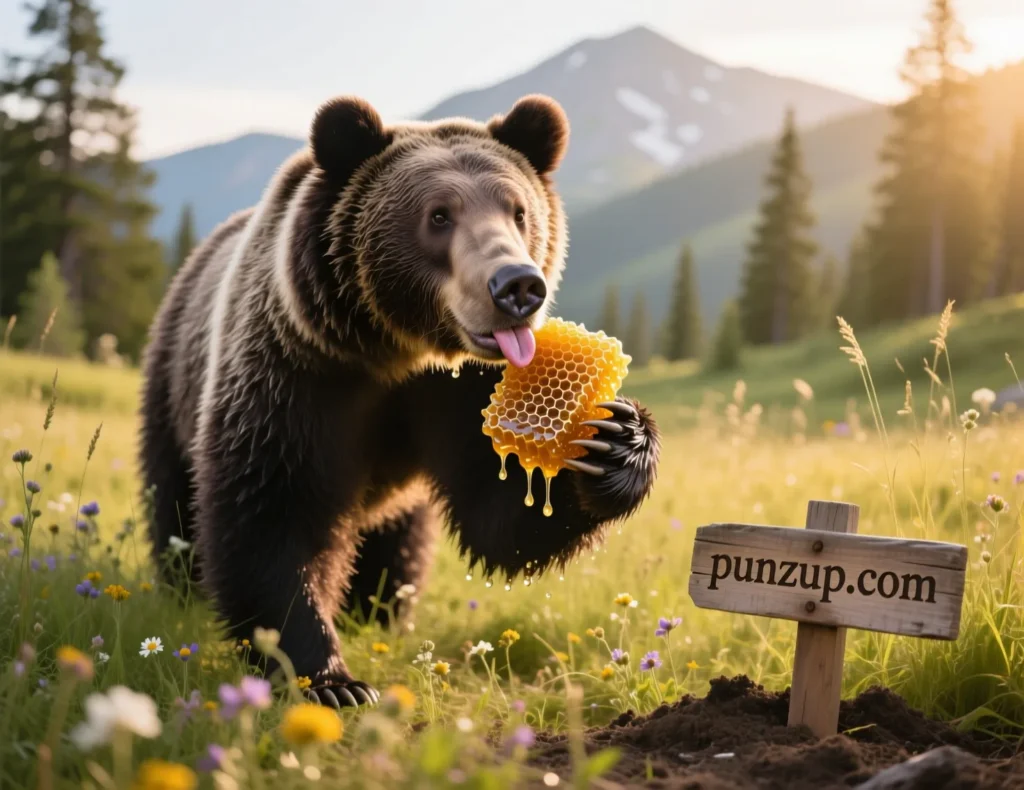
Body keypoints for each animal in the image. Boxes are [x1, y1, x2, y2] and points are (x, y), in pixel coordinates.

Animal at [140, 94, 660, 708]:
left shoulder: (458, 392)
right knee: (173, 502)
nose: (517, 286)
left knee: (401, 543)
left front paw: (612, 441)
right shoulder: (296, 374)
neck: (395, 351)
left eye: (518, 212)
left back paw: (380, 609)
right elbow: (272, 513)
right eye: (438, 215)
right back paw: (181, 591)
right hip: (172, 378)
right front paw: (331, 681)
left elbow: (499, 510)